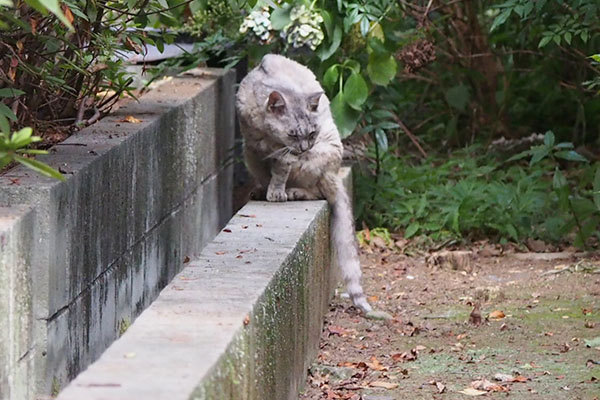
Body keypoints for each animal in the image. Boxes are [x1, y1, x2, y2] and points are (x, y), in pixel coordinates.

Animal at [237, 54, 386, 318]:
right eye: (294, 134)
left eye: (312, 133)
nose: (305, 147)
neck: (267, 137)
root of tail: (335, 174)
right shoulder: (253, 149)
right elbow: (265, 173)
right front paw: (265, 189)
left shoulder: (285, 156)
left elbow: (279, 172)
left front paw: (276, 192)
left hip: (319, 159)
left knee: (318, 192)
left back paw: (293, 192)